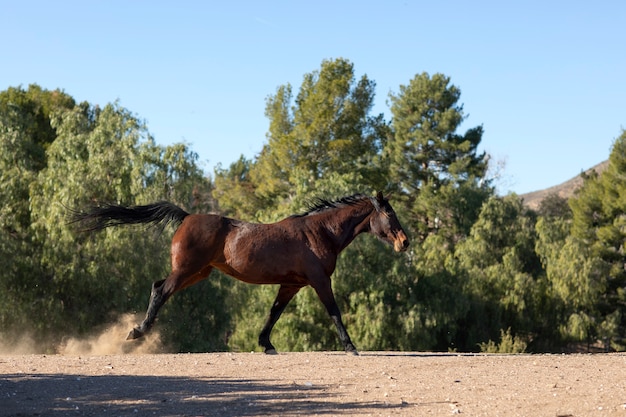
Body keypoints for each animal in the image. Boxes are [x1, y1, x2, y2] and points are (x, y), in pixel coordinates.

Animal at [72, 190, 410, 352]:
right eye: (389, 214)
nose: (405, 242)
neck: (320, 232)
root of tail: (186, 216)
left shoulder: (292, 285)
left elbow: (274, 313)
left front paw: (266, 345)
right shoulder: (319, 281)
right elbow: (334, 312)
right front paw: (351, 347)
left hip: (199, 273)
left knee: (159, 287)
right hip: (186, 270)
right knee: (160, 290)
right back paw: (137, 332)